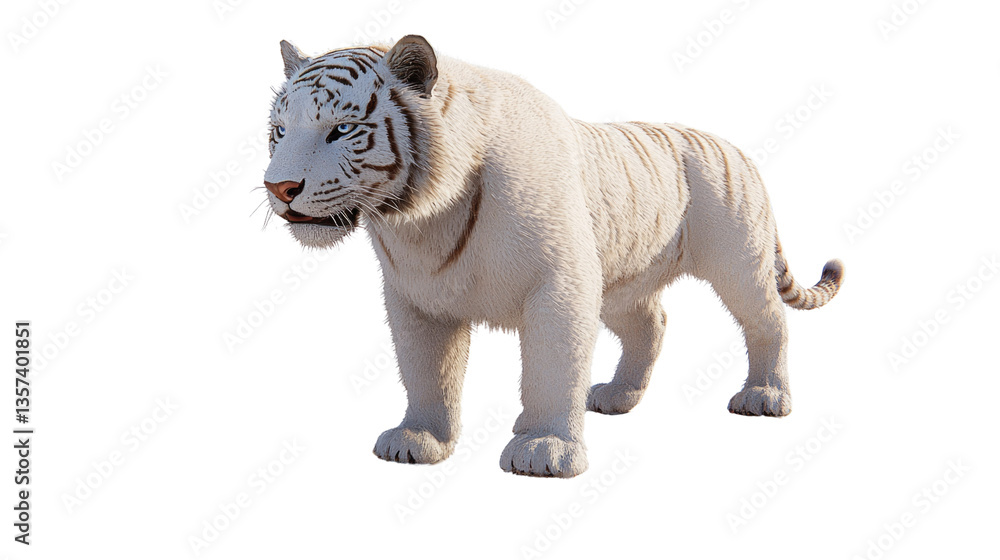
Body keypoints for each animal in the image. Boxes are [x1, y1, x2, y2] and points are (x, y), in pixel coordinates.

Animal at [262, 35, 844, 478]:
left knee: (768, 321)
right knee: (652, 322)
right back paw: (617, 395)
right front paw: (419, 439)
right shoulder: (416, 299)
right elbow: (427, 371)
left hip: (736, 263)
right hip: (623, 282)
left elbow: (551, 368)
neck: (422, 218)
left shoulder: (559, 284)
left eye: (342, 129)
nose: (279, 187)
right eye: (280, 131)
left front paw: (545, 450)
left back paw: (765, 396)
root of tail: (738, 149)